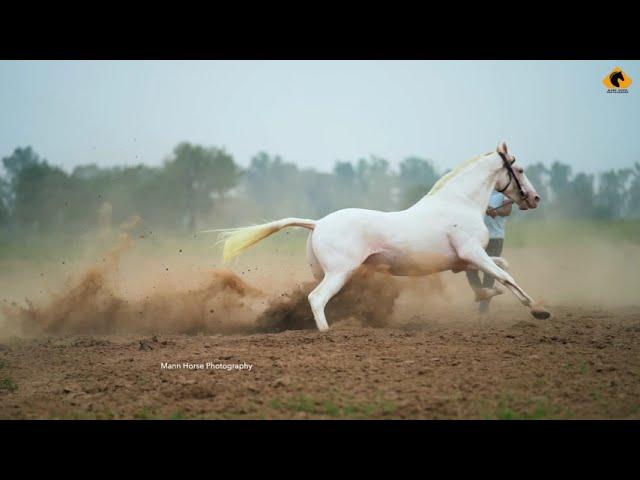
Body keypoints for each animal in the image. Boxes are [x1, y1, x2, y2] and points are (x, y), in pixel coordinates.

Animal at [210, 142, 552, 330]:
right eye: (520, 169)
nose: (535, 199)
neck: (460, 203)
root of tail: (318, 223)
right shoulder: (471, 253)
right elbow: (506, 276)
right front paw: (538, 310)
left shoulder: (465, 260)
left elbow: (501, 267)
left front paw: (488, 294)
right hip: (340, 272)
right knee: (317, 298)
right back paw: (327, 332)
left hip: (324, 272)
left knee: (313, 297)